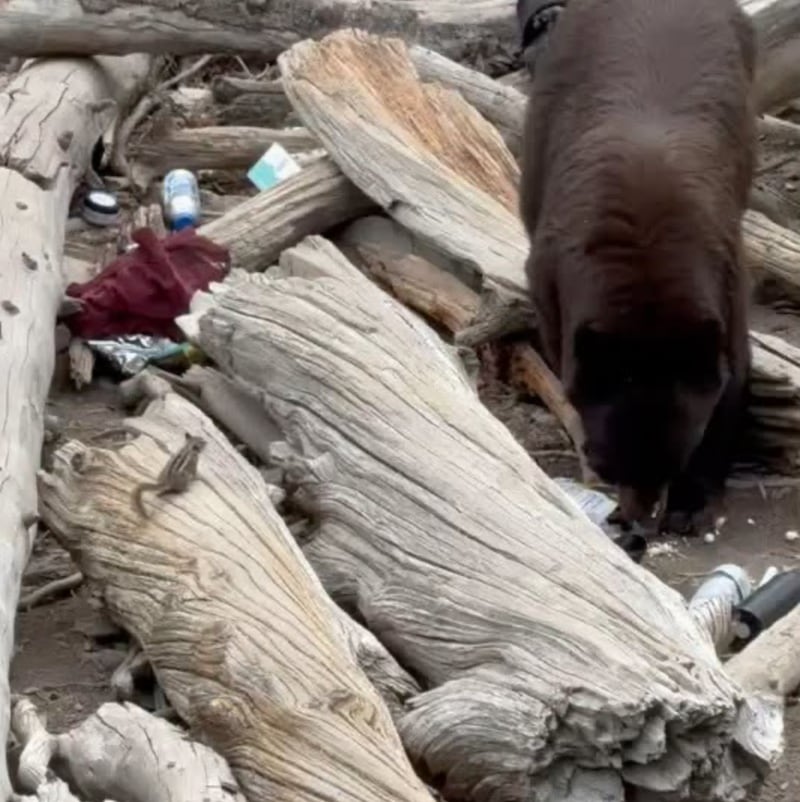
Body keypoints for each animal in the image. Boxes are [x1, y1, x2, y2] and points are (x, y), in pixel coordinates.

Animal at [518, 0, 757, 533]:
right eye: (612, 467)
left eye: (673, 463)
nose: (640, 525)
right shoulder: (550, 276)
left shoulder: (726, 277)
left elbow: (731, 375)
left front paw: (692, 501)